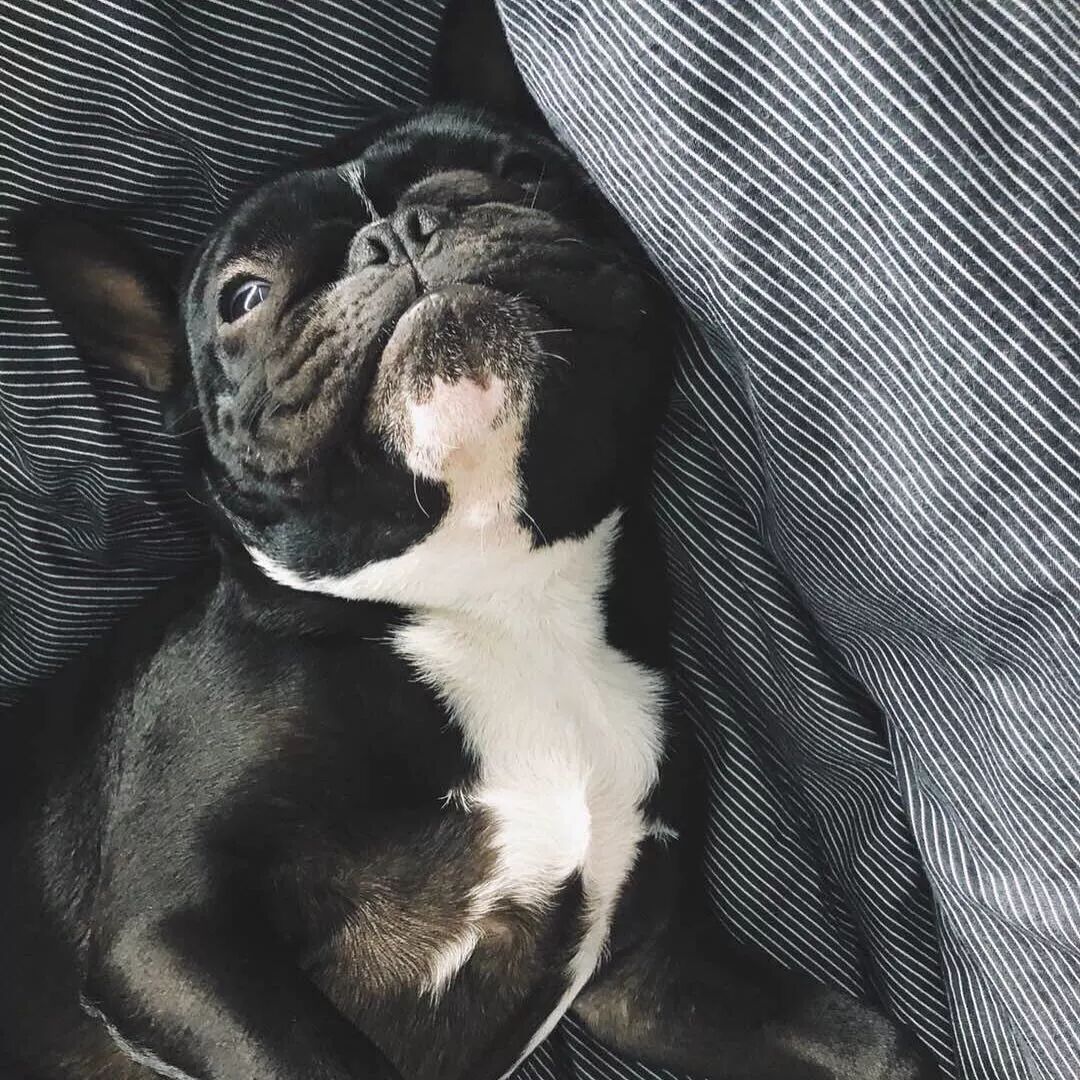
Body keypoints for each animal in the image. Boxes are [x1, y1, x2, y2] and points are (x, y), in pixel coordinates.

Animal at [1, 7, 941, 1079]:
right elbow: (325, 1057)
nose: (394, 233)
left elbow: (872, 1043)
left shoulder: (649, 982)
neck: (499, 594)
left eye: (522, 173)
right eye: (241, 297)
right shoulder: (171, 935)